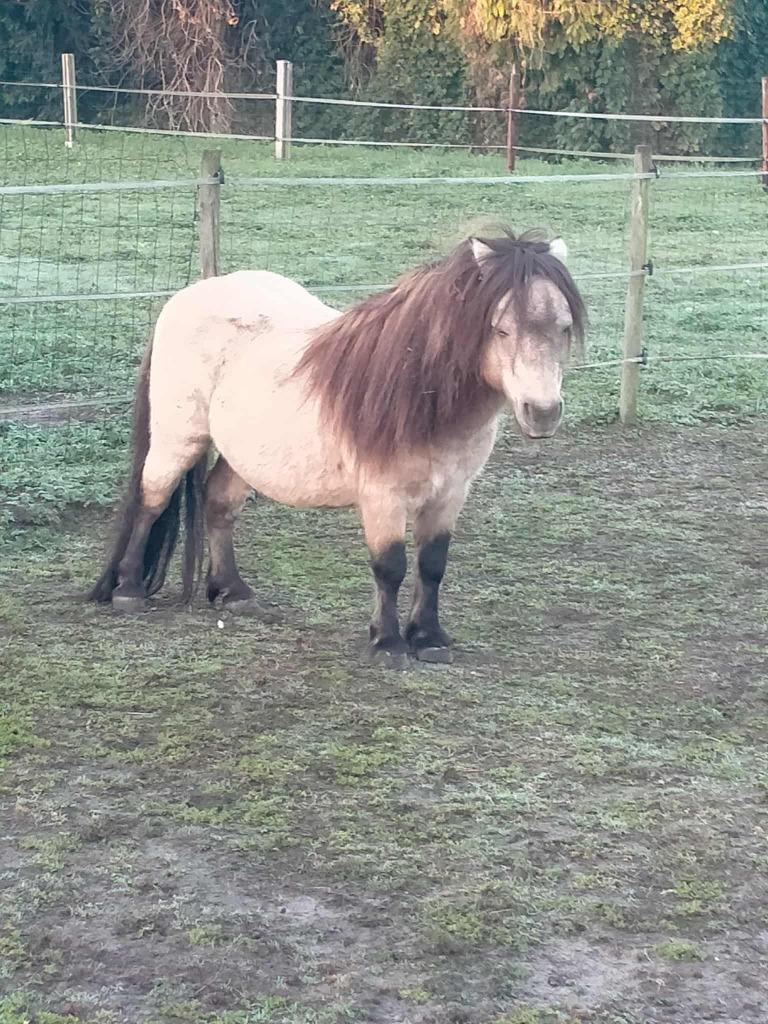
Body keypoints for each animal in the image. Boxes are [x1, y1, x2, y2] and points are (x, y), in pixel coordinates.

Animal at [88, 229, 586, 666]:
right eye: (500, 329)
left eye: (563, 328)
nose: (542, 413)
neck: (416, 393)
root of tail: (189, 295)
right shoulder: (382, 495)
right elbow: (390, 566)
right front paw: (387, 644)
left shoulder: (450, 493)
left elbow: (432, 564)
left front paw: (429, 638)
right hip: (179, 437)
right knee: (152, 498)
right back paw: (128, 589)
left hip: (242, 453)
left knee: (218, 503)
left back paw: (232, 592)